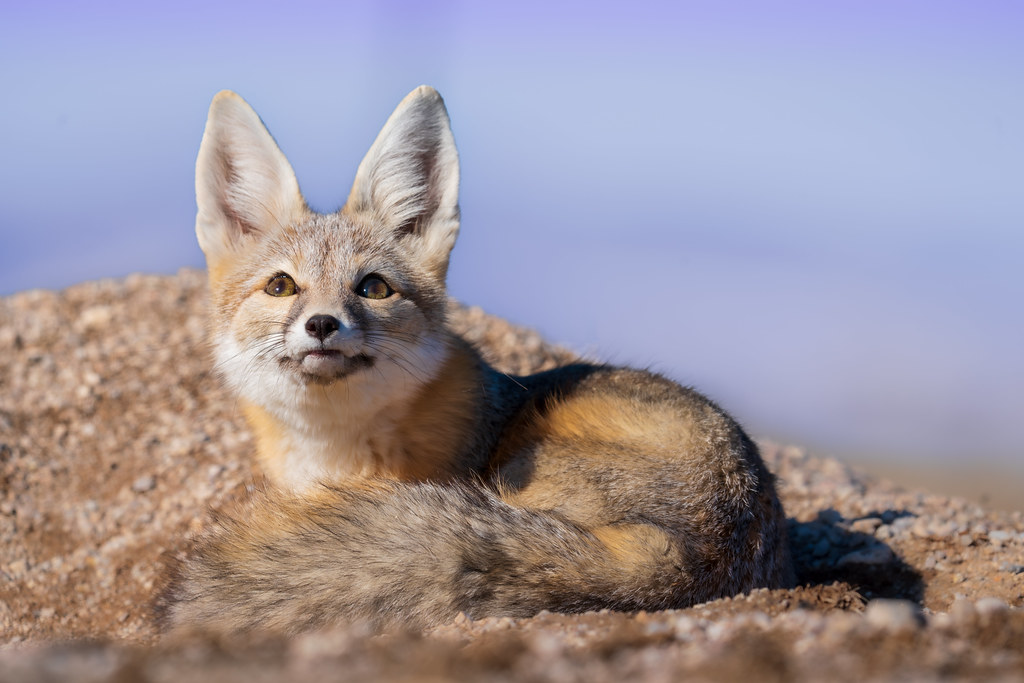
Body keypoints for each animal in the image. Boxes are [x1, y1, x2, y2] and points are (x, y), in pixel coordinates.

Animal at [158, 85, 795, 634]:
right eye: (281, 286)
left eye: (373, 288)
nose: (321, 324)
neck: (332, 455)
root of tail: (696, 554)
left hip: (519, 466)